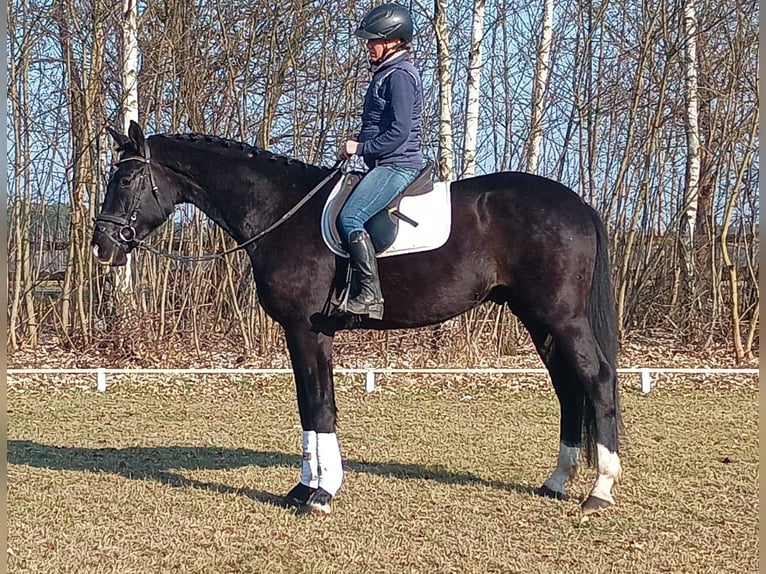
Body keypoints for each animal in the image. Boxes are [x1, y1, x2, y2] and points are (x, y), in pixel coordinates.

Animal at [92, 121, 623, 516]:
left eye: (126, 180)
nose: (102, 247)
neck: (280, 212)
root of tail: (577, 203)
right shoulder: (302, 334)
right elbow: (309, 406)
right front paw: (303, 489)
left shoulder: (307, 330)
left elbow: (320, 406)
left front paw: (322, 494)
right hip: (538, 319)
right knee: (568, 386)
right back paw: (557, 481)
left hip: (561, 316)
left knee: (596, 379)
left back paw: (598, 492)